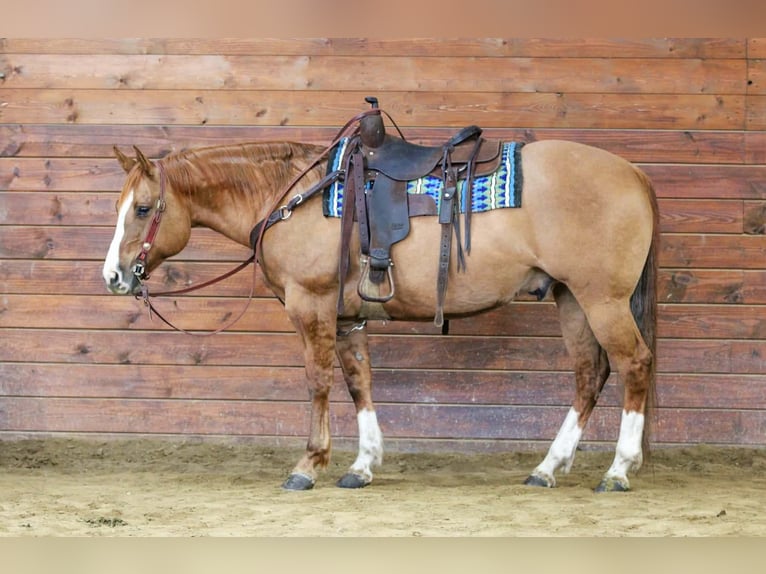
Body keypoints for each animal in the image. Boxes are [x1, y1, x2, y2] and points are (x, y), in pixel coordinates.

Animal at [103, 121, 658, 493]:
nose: (113, 276)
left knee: (634, 364)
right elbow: (358, 382)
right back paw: (547, 468)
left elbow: (319, 381)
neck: (293, 198)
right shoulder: (349, 318)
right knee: (589, 374)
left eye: (144, 208)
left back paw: (617, 470)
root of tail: (633, 173)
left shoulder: (312, 305)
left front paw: (309, 465)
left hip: (602, 299)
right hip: (571, 298)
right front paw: (362, 465)